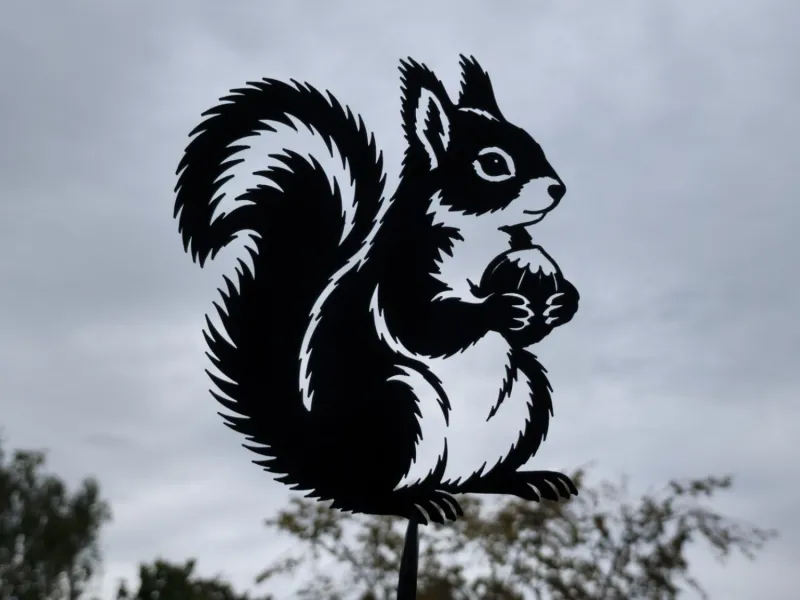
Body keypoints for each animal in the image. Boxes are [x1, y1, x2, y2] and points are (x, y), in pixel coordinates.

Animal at [174, 55, 580, 525]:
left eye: (535, 144)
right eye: (493, 163)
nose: (557, 189)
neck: (481, 234)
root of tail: (322, 457)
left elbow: (528, 329)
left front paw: (562, 302)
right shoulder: (401, 274)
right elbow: (422, 325)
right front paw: (498, 308)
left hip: (525, 396)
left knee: (478, 477)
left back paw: (522, 479)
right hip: (397, 408)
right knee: (366, 494)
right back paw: (414, 501)